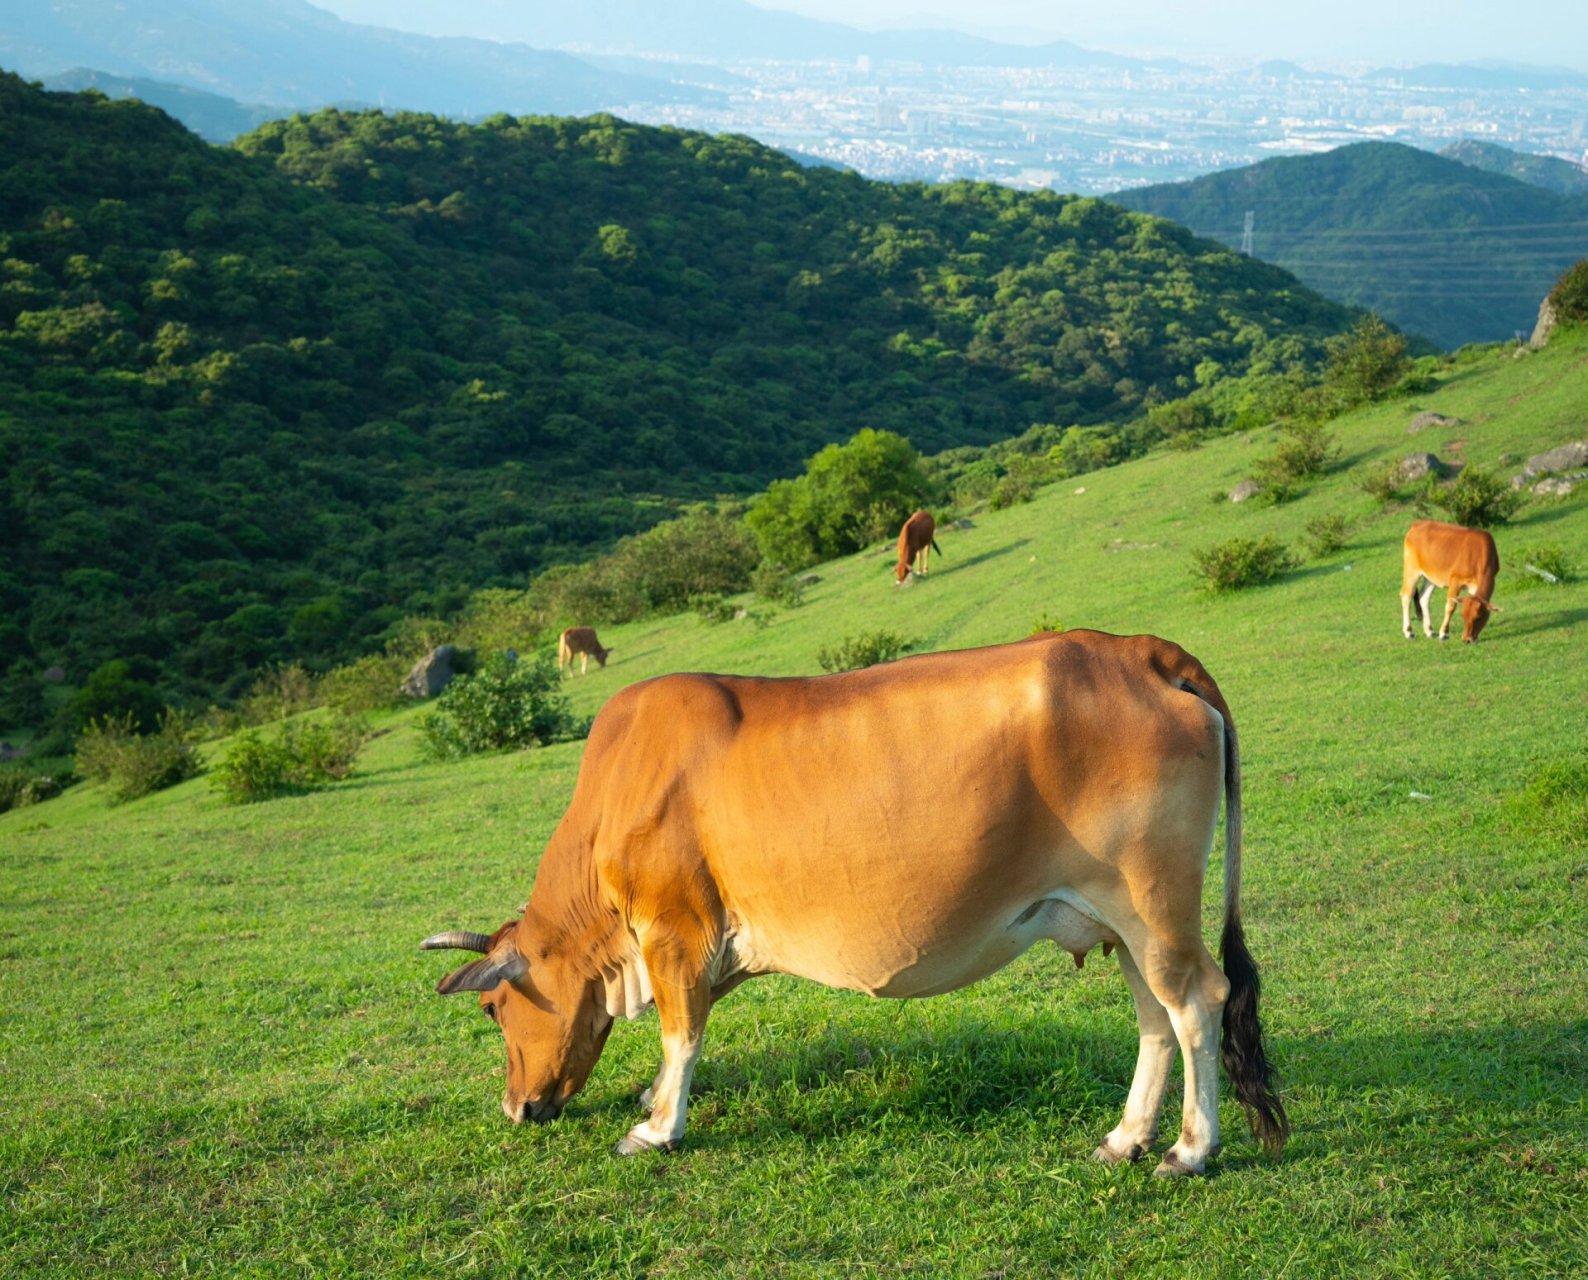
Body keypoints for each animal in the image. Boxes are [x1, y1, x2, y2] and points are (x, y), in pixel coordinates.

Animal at [422, 632, 1289, 1181]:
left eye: (494, 1009)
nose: (515, 1108)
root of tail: (1140, 650)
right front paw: (650, 1101)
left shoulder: (675, 930)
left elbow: (681, 1033)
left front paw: (656, 1126)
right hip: (1126, 919)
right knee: (1155, 1015)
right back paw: (1126, 1138)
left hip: (1152, 901)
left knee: (1197, 1001)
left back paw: (1189, 1151)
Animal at [1403, 517, 1499, 647]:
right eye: (1463, 616)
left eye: (1478, 617)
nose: (1467, 639)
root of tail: (1417, 523)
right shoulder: (1455, 580)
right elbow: (1450, 606)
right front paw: (1444, 633)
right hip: (1411, 570)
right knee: (1406, 596)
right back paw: (1409, 632)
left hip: (1430, 577)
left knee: (1424, 598)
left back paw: (1429, 631)